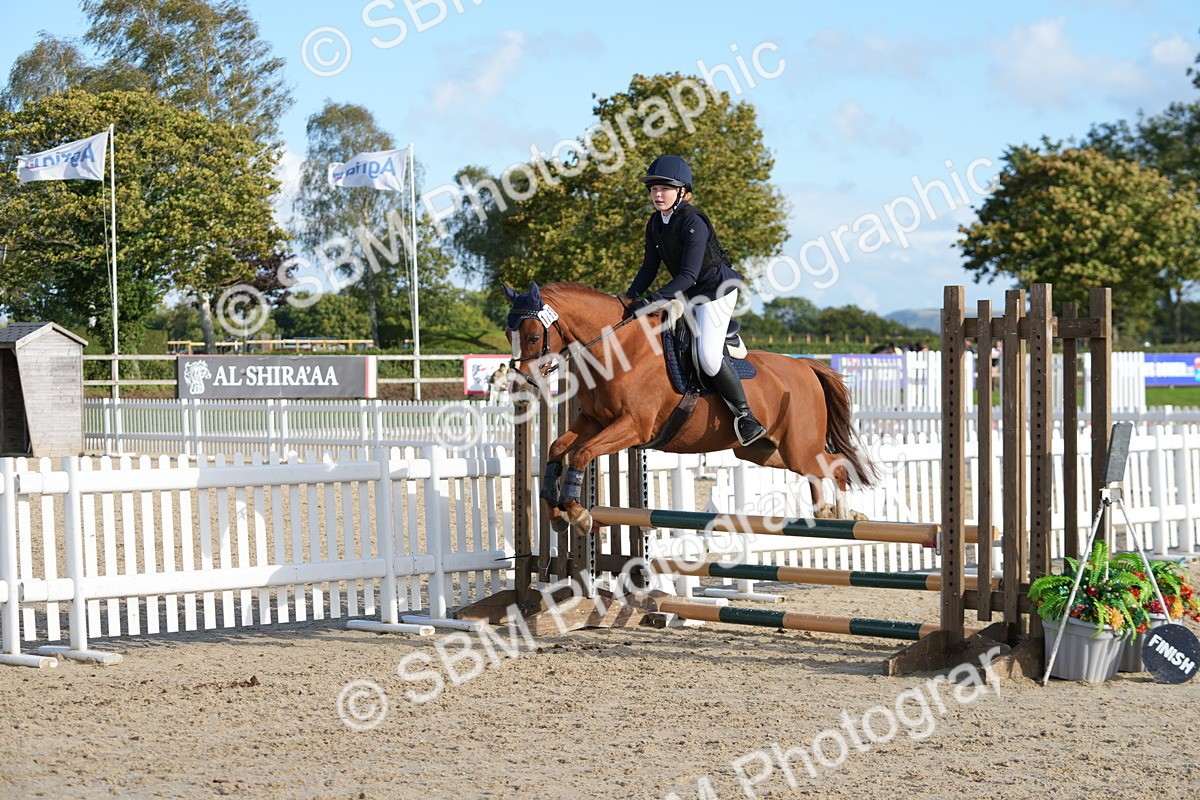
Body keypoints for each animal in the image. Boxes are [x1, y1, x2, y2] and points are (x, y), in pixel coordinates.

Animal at [504, 282, 877, 535]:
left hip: (798, 446)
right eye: (510, 335)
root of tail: (804, 366)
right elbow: (558, 448)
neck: (618, 349)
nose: (520, 387)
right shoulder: (593, 420)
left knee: (835, 466)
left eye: (533, 337)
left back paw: (844, 514)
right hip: (764, 451)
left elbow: (580, 453)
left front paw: (578, 514)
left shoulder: (633, 427)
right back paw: (824, 513)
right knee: (816, 470)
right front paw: (556, 513)